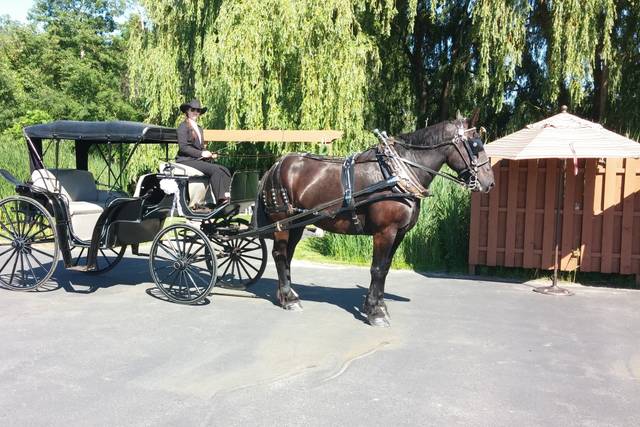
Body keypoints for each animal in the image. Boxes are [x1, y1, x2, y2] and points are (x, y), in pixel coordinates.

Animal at [255, 117, 496, 328]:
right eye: (475, 146)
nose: (489, 183)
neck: (395, 174)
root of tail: (274, 167)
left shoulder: (399, 233)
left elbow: (386, 268)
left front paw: (378, 305)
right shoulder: (385, 231)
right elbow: (377, 269)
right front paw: (376, 313)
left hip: (298, 223)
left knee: (287, 256)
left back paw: (287, 295)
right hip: (282, 223)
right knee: (279, 255)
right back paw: (289, 298)